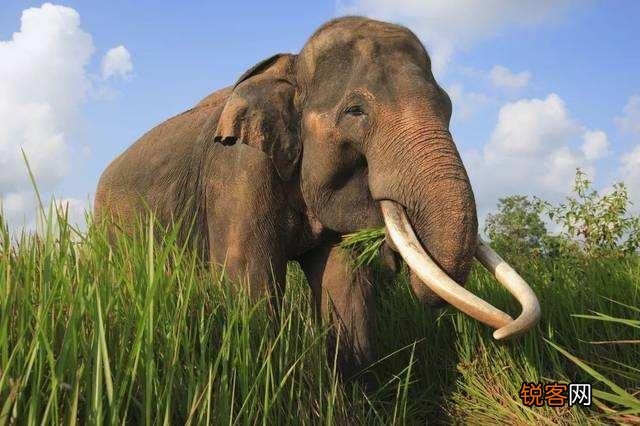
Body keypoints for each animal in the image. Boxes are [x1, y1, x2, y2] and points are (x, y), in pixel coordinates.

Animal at [95, 16, 540, 380]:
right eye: (356, 111)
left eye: (447, 107)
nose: (502, 334)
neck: (290, 67)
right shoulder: (237, 167)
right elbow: (248, 276)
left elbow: (344, 281)